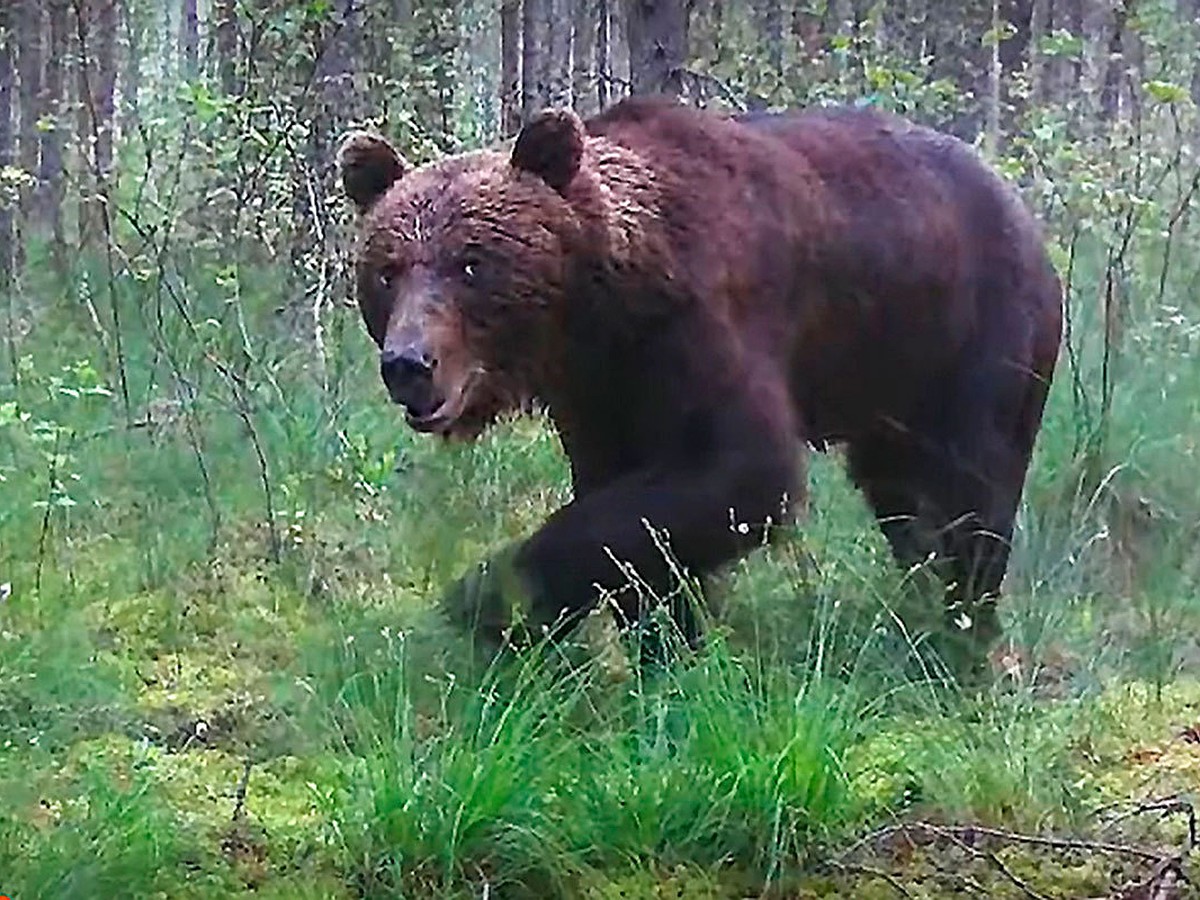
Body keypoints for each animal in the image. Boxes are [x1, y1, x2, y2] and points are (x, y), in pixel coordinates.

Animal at [336, 97, 1060, 676]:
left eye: (471, 264)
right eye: (387, 271)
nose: (409, 363)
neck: (600, 313)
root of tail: (1020, 206)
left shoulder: (703, 327)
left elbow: (741, 475)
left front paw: (490, 599)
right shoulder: (600, 396)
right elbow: (635, 513)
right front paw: (664, 645)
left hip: (974, 341)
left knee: (971, 492)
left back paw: (962, 634)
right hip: (887, 379)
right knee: (902, 498)